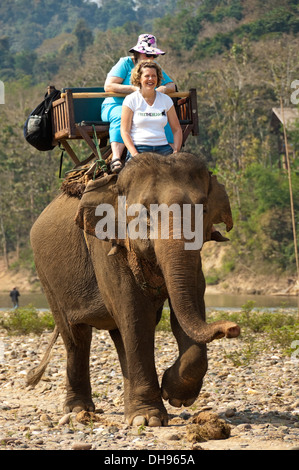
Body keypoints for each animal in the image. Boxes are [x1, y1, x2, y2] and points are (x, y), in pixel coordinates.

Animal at [27, 151, 240, 426]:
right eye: (145, 213)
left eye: (203, 209)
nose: (233, 328)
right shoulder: (105, 247)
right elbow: (135, 314)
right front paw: (148, 419)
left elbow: (188, 306)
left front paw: (174, 396)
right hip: (47, 278)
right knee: (76, 337)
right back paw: (78, 409)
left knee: (119, 336)